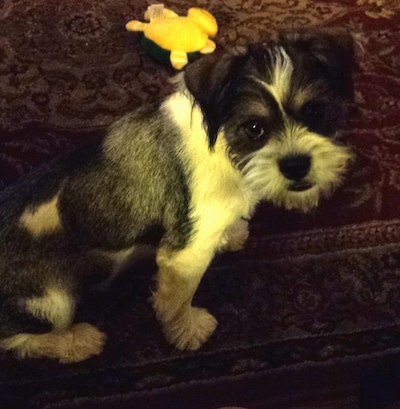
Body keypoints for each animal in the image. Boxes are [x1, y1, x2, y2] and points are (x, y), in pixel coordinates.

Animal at [0, 28, 356, 362]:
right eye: (255, 128)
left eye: (315, 112)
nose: (296, 165)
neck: (225, 144)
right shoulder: (184, 254)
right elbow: (178, 298)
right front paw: (187, 331)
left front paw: (230, 234)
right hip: (53, 302)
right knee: (17, 339)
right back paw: (77, 341)